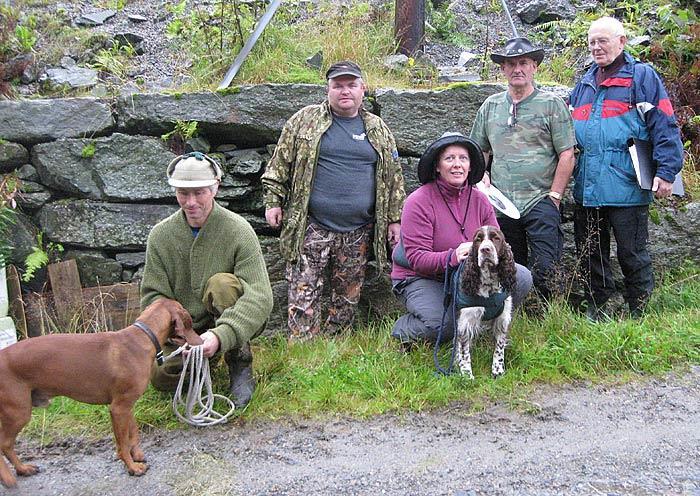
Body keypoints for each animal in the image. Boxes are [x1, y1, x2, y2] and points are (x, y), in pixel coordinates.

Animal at [0, 296, 202, 486]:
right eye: (189, 321)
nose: (201, 341)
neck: (142, 337)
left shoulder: (126, 406)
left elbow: (132, 431)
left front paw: (136, 454)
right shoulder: (118, 408)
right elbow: (122, 443)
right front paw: (132, 467)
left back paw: (22, 469)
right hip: (18, 412)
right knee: (5, 444)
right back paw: (12, 475)